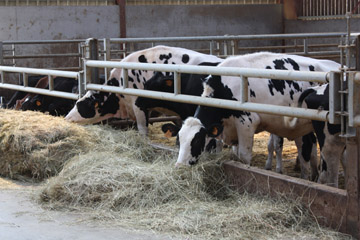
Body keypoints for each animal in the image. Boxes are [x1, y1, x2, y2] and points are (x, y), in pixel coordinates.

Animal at [176, 51, 338, 181]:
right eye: (179, 140)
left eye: (197, 141)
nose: (180, 166)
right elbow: (235, 155)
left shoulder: (246, 123)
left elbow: (243, 157)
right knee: (307, 146)